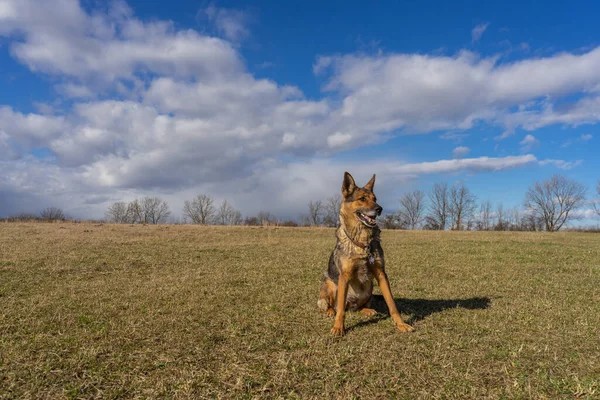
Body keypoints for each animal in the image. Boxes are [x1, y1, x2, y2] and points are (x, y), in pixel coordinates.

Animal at [318, 172, 412, 334]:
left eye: (375, 199)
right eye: (362, 198)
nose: (379, 209)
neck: (362, 242)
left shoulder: (381, 274)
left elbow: (391, 303)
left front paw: (401, 324)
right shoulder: (344, 276)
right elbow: (340, 310)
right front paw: (338, 327)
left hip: (369, 287)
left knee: (358, 307)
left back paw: (368, 310)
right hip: (329, 285)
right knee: (335, 305)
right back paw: (330, 311)